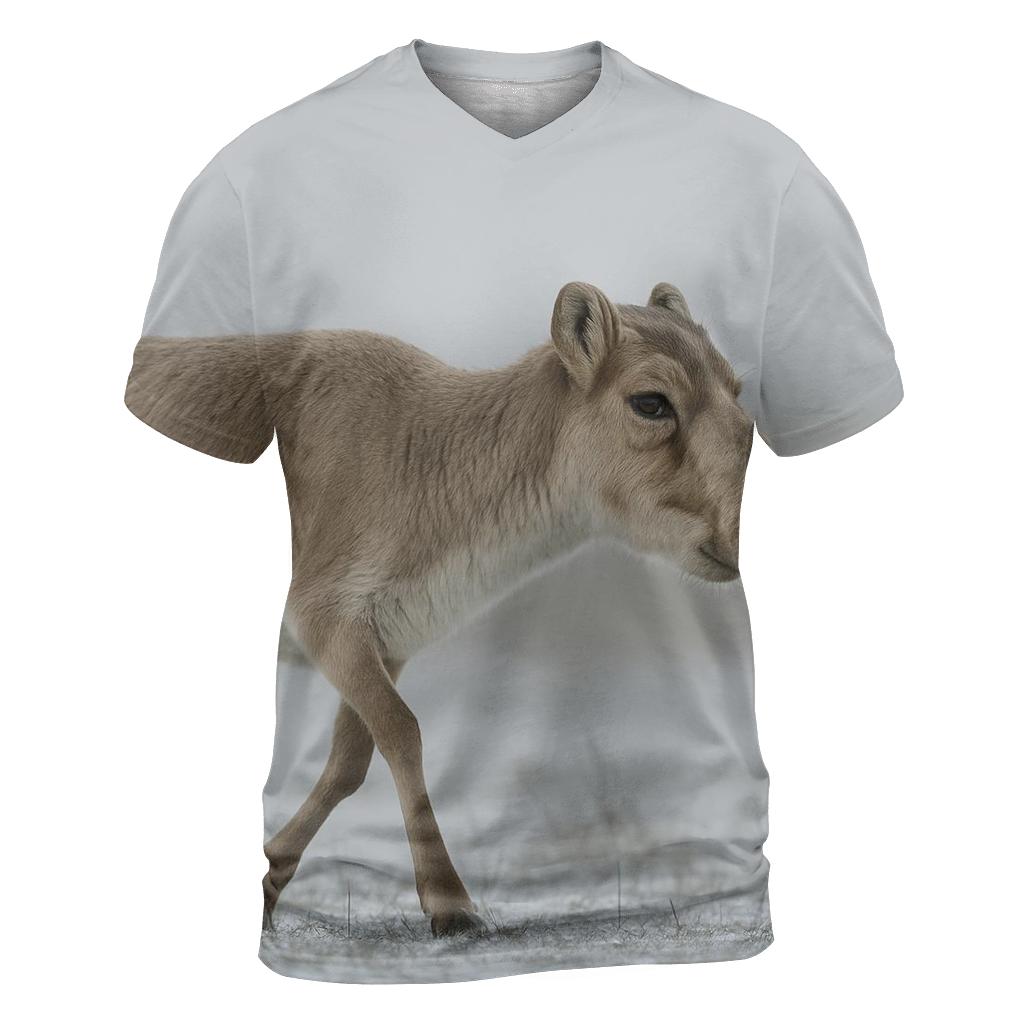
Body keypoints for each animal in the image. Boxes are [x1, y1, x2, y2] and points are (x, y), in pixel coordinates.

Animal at [179, 282, 753, 936]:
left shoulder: (384, 639)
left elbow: (353, 758)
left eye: (739, 394)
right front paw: (450, 903)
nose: (733, 539)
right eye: (651, 402)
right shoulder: (321, 617)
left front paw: (274, 874)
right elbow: (402, 730)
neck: (426, 455)